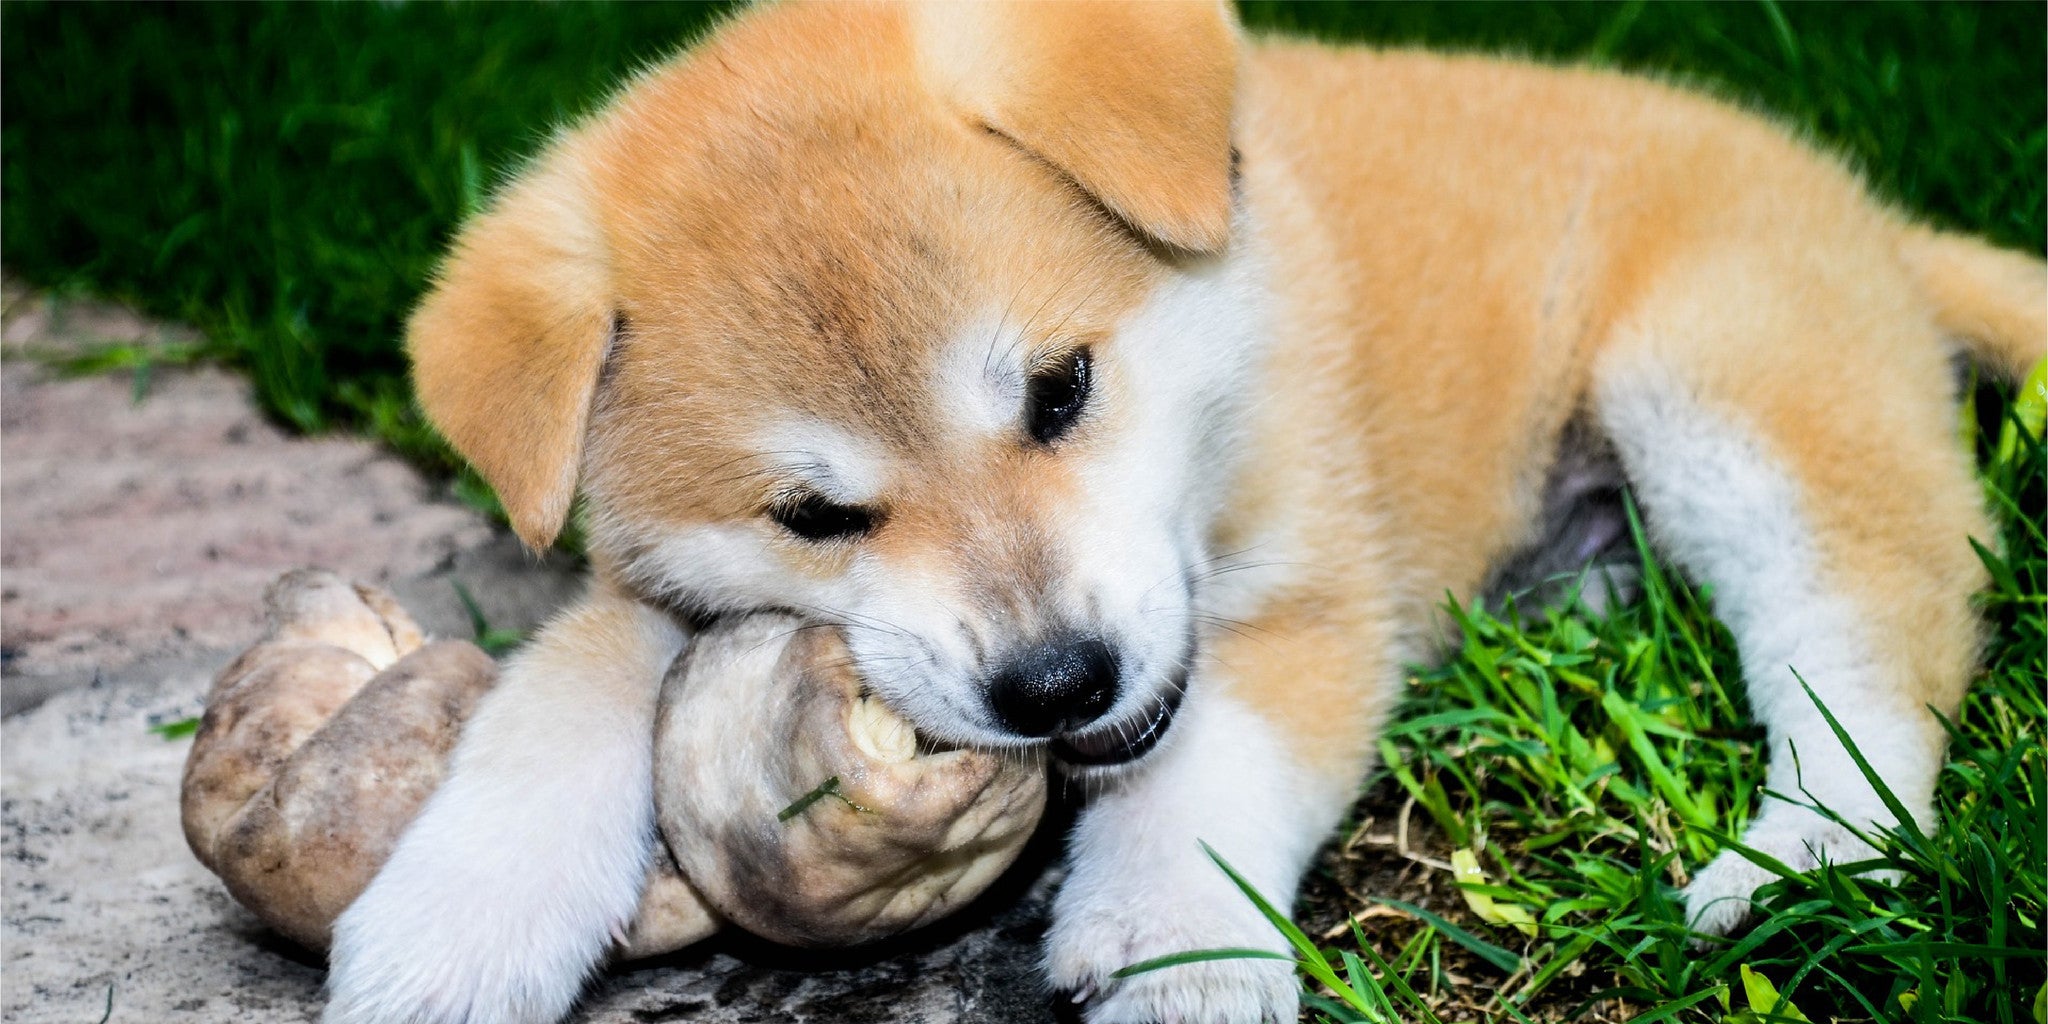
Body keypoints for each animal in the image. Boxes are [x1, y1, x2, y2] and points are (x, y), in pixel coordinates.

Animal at [323, 2, 2048, 1024]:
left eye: (1060, 389)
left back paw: (1802, 856)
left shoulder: (1312, 591)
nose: (1053, 684)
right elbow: (554, 707)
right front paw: (457, 921)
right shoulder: (645, 593)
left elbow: (1212, 762)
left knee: (1870, 655)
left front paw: (1166, 935)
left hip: (1725, 386)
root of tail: (1868, 215)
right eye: (815, 516)